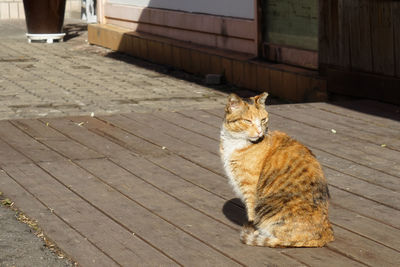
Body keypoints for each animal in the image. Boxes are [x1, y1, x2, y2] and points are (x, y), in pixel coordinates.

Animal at [220, 93, 332, 248]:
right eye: (248, 121)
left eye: (263, 120)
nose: (260, 131)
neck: (235, 142)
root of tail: (327, 232)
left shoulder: (250, 190)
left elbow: (251, 213)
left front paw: (252, 228)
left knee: (281, 239)